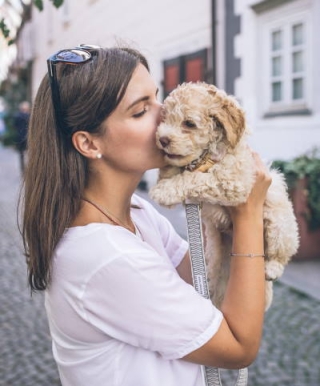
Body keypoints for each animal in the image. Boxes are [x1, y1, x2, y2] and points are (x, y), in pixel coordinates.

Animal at [150, 82, 300, 310]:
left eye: (189, 123)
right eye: (164, 118)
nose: (162, 139)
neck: (205, 157)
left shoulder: (233, 181)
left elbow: (195, 179)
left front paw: (164, 190)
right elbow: (179, 170)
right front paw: (166, 173)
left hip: (281, 228)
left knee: (281, 253)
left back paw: (272, 267)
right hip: (217, 244)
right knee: (215, 267)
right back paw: (209, 285)